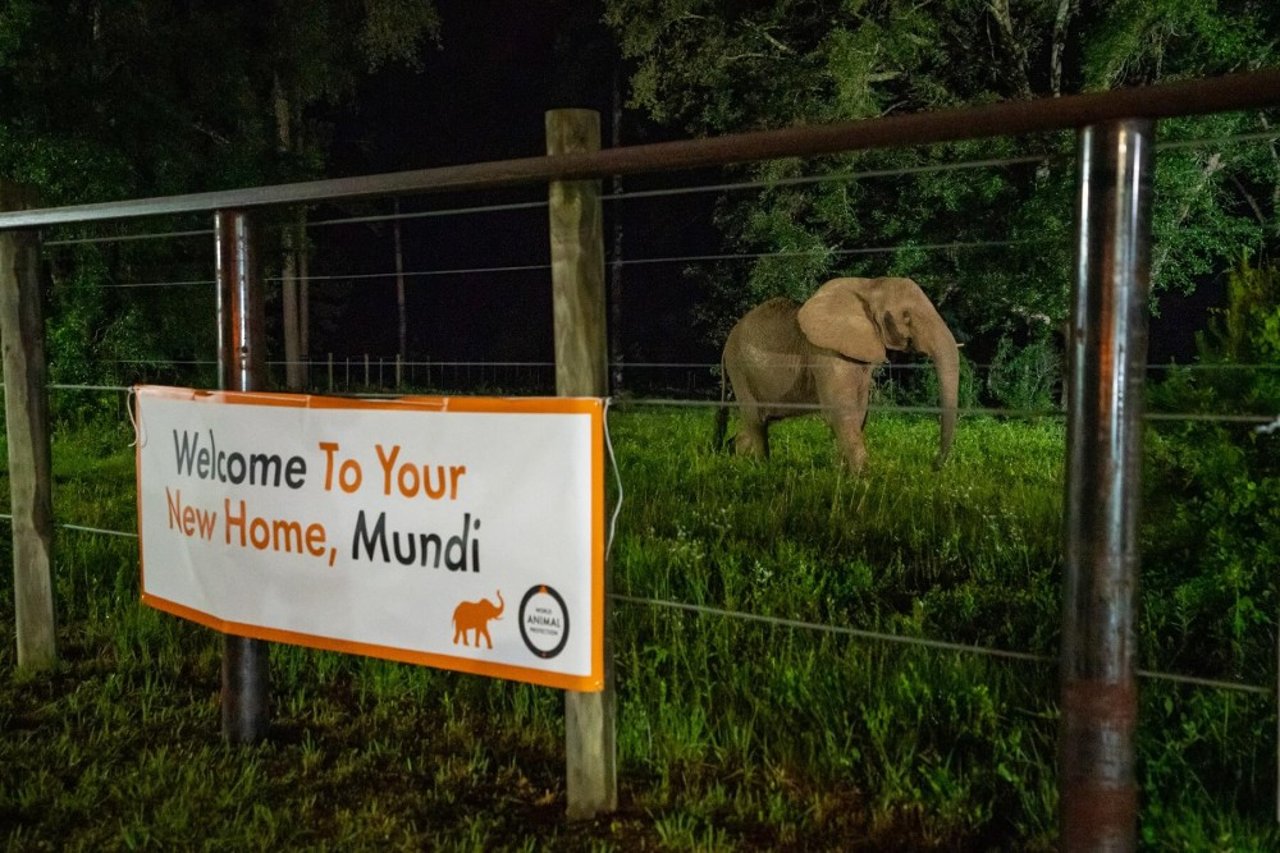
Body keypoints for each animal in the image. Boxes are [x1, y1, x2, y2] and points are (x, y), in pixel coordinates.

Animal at [711, 275, 962, 468]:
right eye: (907, 316)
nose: (934, 466)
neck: (868, 286)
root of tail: (726, 346)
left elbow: (859, 412)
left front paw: (841, 473)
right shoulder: (825, 353)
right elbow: (841, 411)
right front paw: (864, 479)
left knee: (758, 421)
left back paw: (735, 457)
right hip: (739, 368)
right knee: (756, 420)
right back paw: (763, 469)